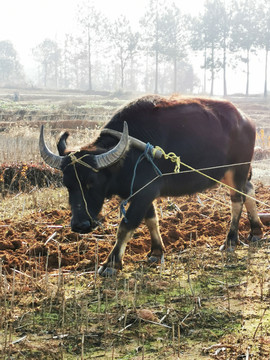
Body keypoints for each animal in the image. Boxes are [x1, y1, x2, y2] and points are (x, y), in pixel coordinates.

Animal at [39, 95, 264, 276]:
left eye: (91, 183)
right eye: (67, 184)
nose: (80, 225)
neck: (128, 156)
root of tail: (247, 121)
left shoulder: (144, 192)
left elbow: (126, 226)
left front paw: (111, 263)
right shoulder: (142, 193)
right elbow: (151, 220)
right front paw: (156, 252)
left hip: (238, 169)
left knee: (237, 200)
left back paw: (230, 240)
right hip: (229, 173)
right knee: (249, 190)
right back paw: (256, 231)